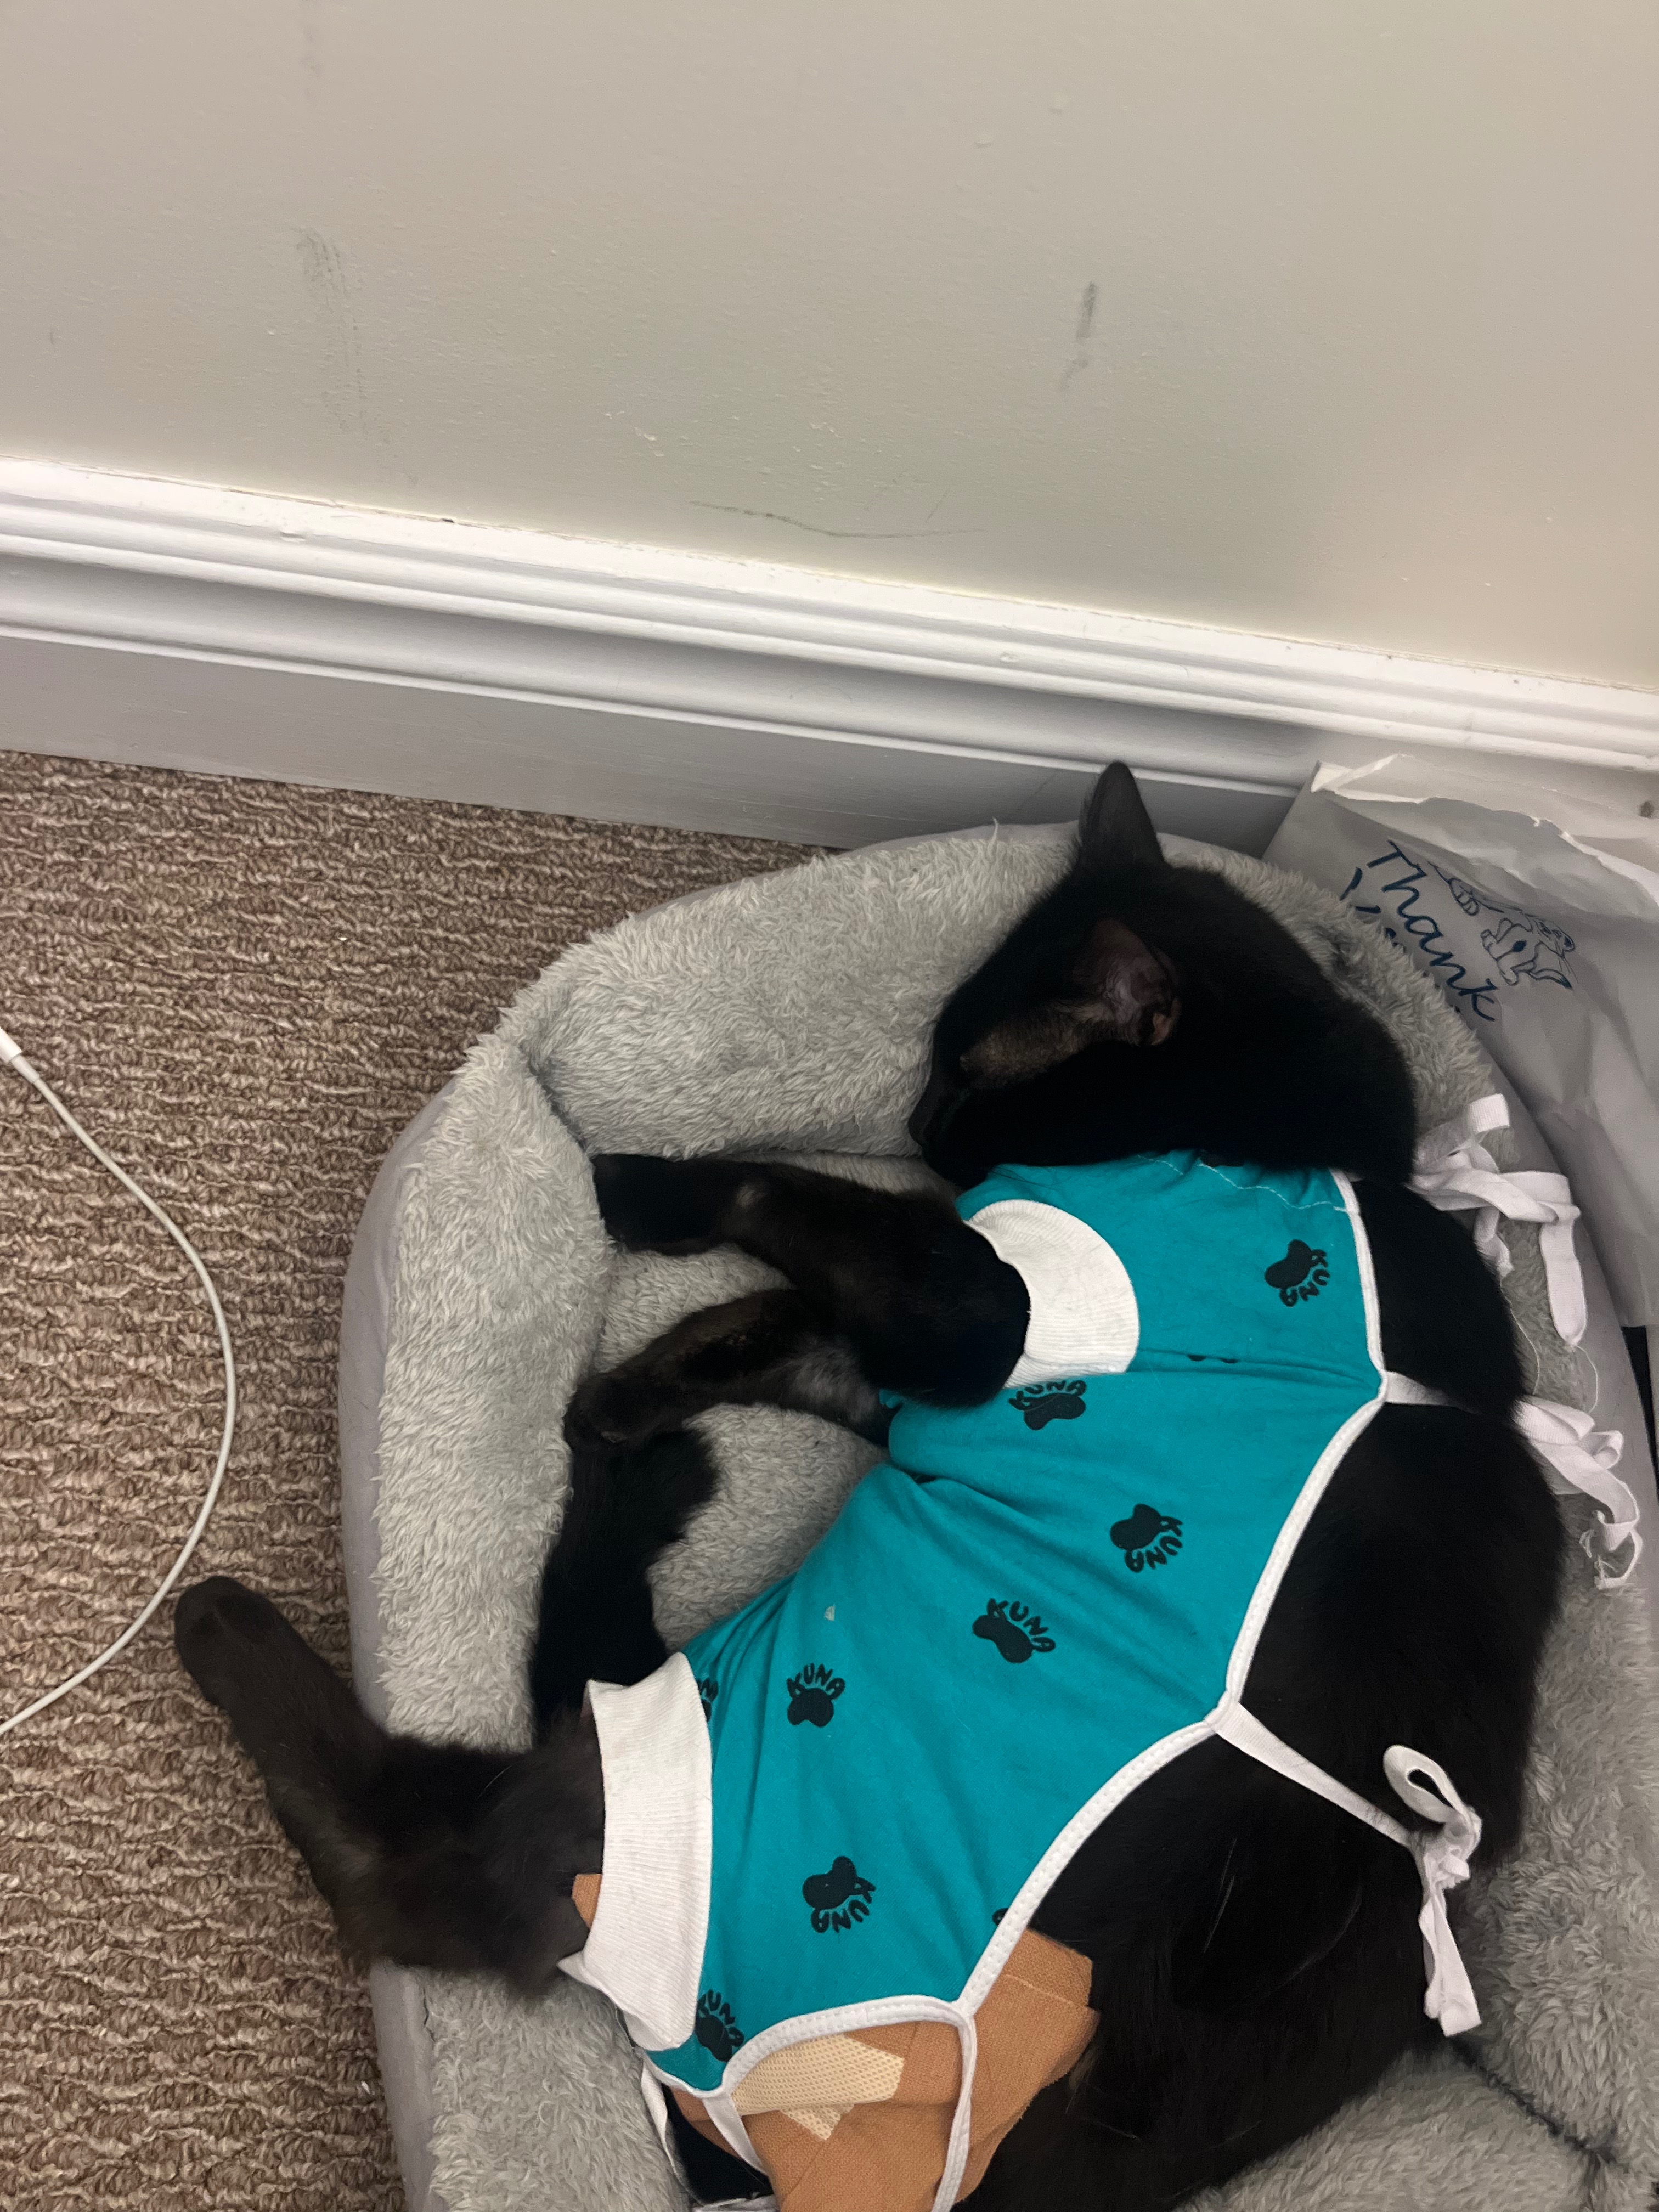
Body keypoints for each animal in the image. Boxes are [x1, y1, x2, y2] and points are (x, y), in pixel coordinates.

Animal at [175, 763, 1561, 2211]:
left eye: (968, 1071)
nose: (919, 1125)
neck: (1283, 1147)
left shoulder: (980, 1306)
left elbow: (784, 1197)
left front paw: (641, 1195)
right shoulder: (924, 1355)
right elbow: (770, 1319)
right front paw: (623, 1394)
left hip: (657, 1794)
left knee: (412, 1859)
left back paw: (227, 1628)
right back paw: (641, 1475)